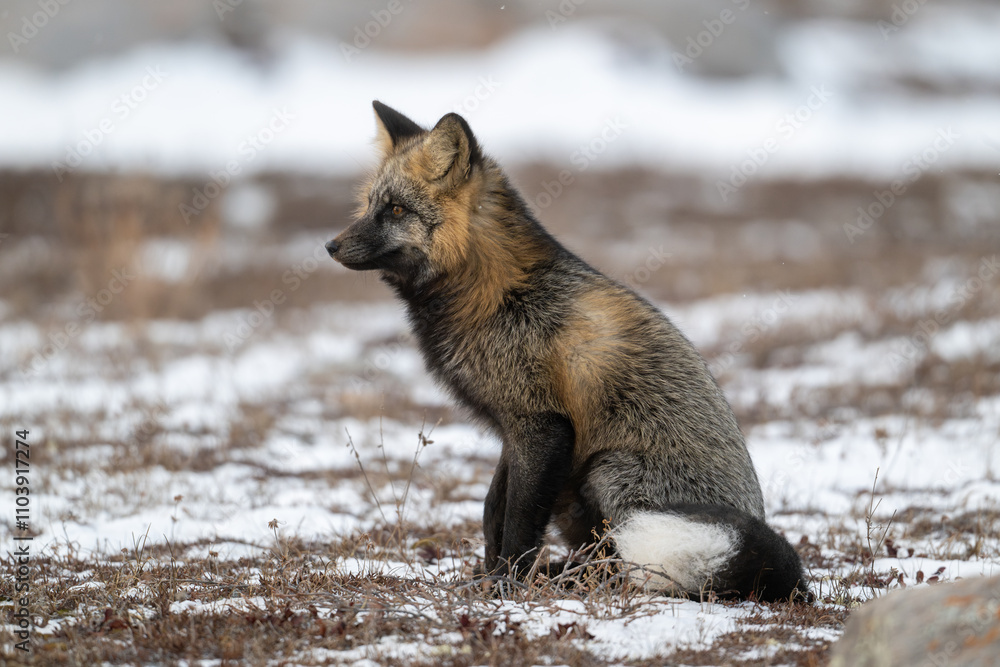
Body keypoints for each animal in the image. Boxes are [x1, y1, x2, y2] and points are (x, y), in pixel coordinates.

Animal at [326, 101, 810, 602]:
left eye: (396, 209)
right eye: (369, 205)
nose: (330, 245)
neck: (493, 293)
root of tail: (797, 586)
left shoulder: (542, 427)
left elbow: (517, 523)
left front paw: (506, 586)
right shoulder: (514, 427)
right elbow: (492, 510)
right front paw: (488, 577)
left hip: (608, 471)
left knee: (625, 562)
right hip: (571, 493)